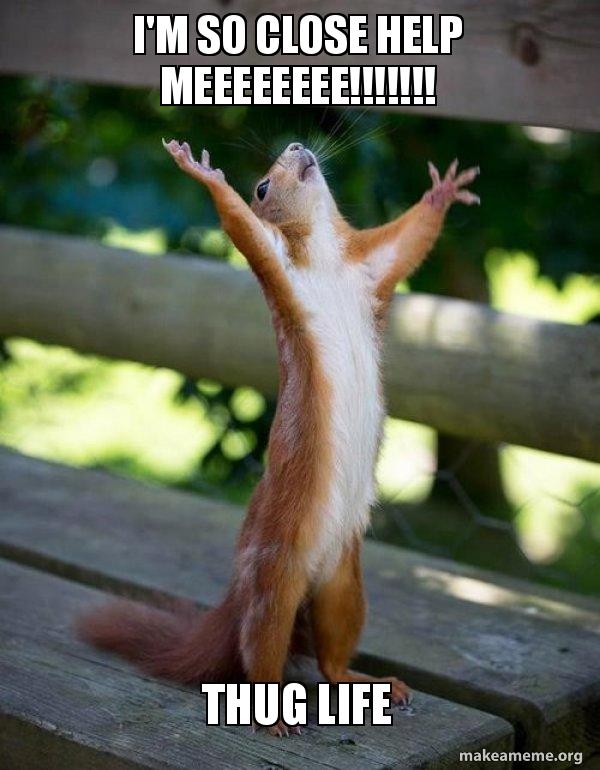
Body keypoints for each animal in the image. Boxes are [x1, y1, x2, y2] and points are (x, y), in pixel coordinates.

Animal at [79, 138, 479, 737]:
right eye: (262, 186)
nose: (296, 146)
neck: (327, 259)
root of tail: (240, 592)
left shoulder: (371, 267)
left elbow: (408, 241)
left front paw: (443, 191)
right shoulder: (278, 266)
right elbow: (242, 227)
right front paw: (204, 173)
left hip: (344, 584)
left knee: (332, 659)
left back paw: (370, 682)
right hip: (275, 577)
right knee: (260, 649)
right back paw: (273, 718)